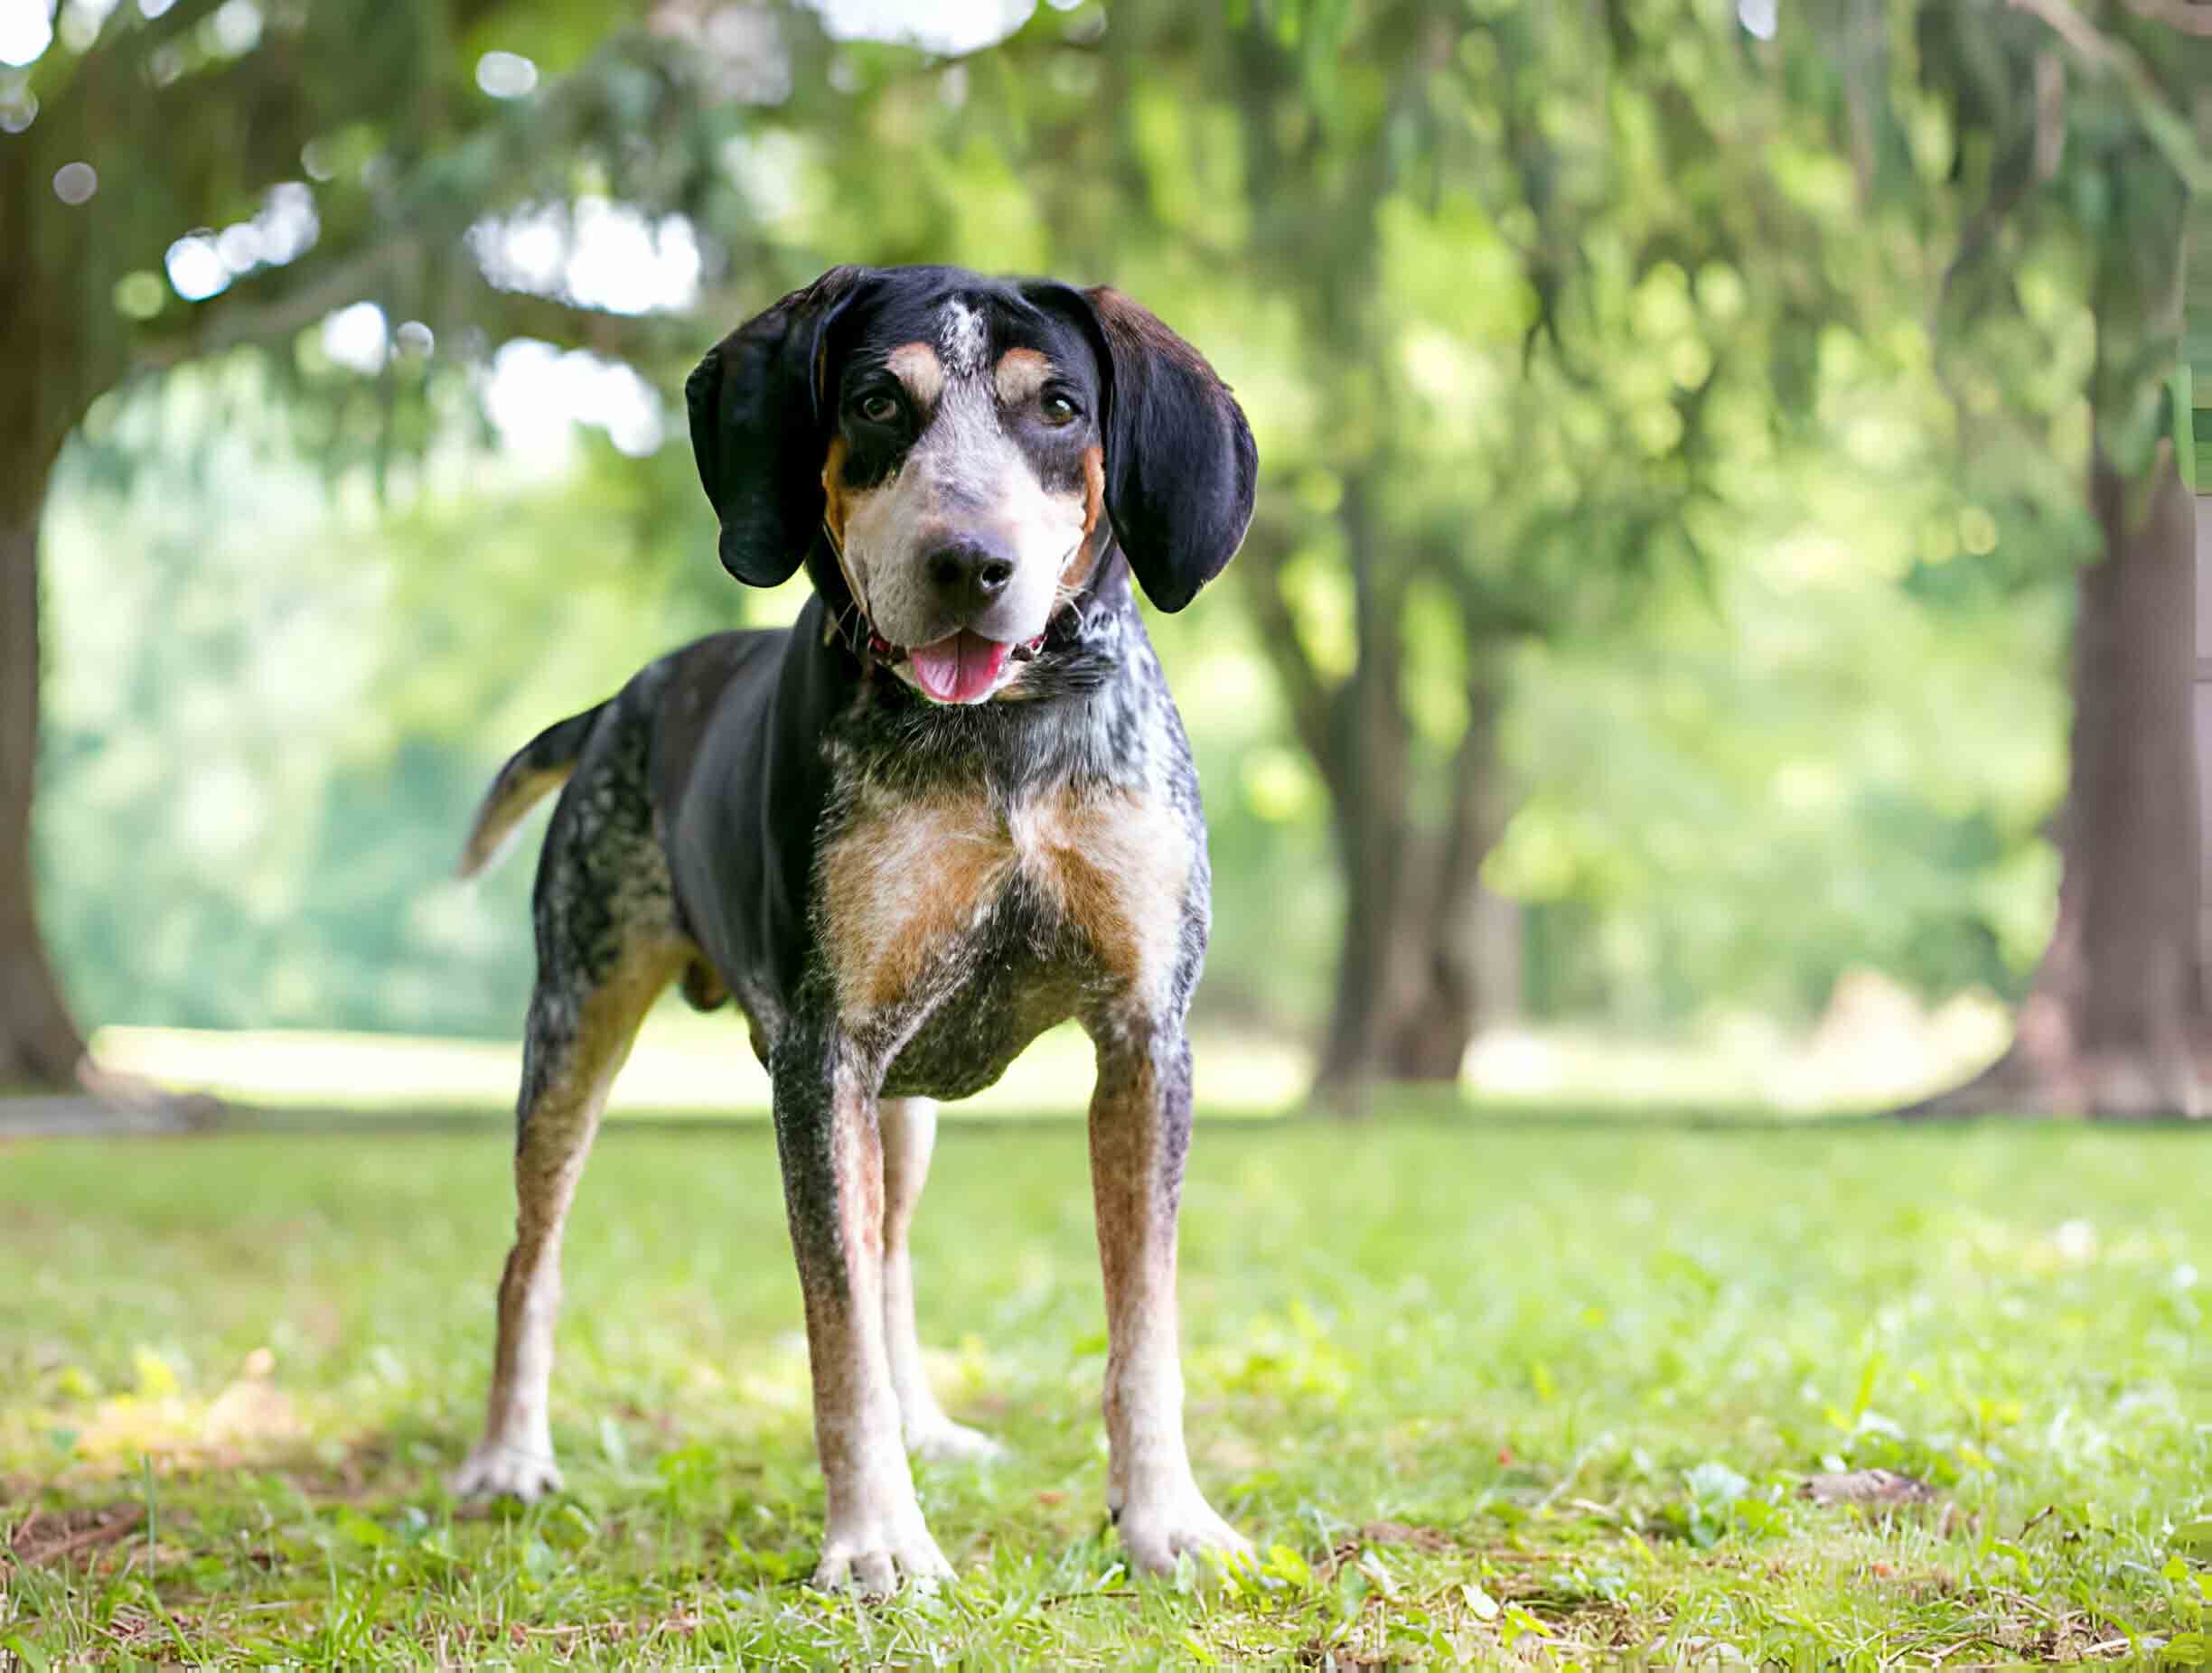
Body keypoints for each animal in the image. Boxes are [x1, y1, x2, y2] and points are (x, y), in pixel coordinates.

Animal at [448, 264, 1265, 1591]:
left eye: (1059, 408)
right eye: (880, 401)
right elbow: (836, 1342)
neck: (1001, 736)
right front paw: (877, 1537)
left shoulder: (1146, 1040)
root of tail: (622, 697)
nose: (970, 561)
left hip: (904, 1107)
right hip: (577, 1030)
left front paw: (1166, 1519)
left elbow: (1144, 1328)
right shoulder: (822, 1055)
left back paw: (930, 1424)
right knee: (534, 1258)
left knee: (891, 1263)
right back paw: (507, 1457)